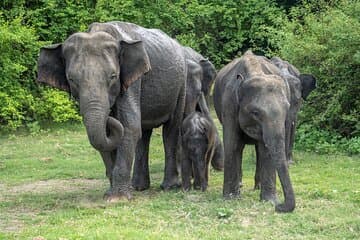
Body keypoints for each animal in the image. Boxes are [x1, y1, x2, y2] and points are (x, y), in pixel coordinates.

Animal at [37, 21, 187, 202]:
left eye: (113, 76)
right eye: (72, 79)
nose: (110, 111)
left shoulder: (131, 82)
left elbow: (129, 128)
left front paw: (117, 199)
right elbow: (108, 136)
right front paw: (110, 194)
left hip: (181, 84)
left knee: (170, 129)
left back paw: (169, 187)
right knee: (144, 134)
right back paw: (138, 187)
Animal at [214, 50, 296, 212]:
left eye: (287, 108)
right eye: (255, 113)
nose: (280, 206)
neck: (254, 71)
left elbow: (266, 150)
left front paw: (269, 201)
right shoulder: (229, 103)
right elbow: (233, 144)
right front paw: (230, 198)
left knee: (259, 149)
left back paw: (257, 187)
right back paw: (240, 186)